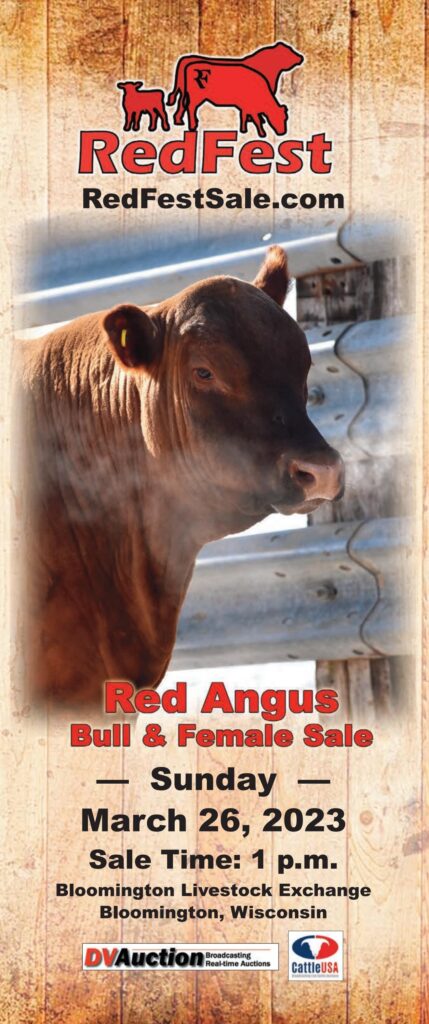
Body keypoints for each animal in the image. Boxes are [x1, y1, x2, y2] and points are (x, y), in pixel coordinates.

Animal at [168, 41, 304, 126]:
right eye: (288, 51)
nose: (301, 57)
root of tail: (187, 59)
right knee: (189, 106)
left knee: (182, 104)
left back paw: (179, 121)